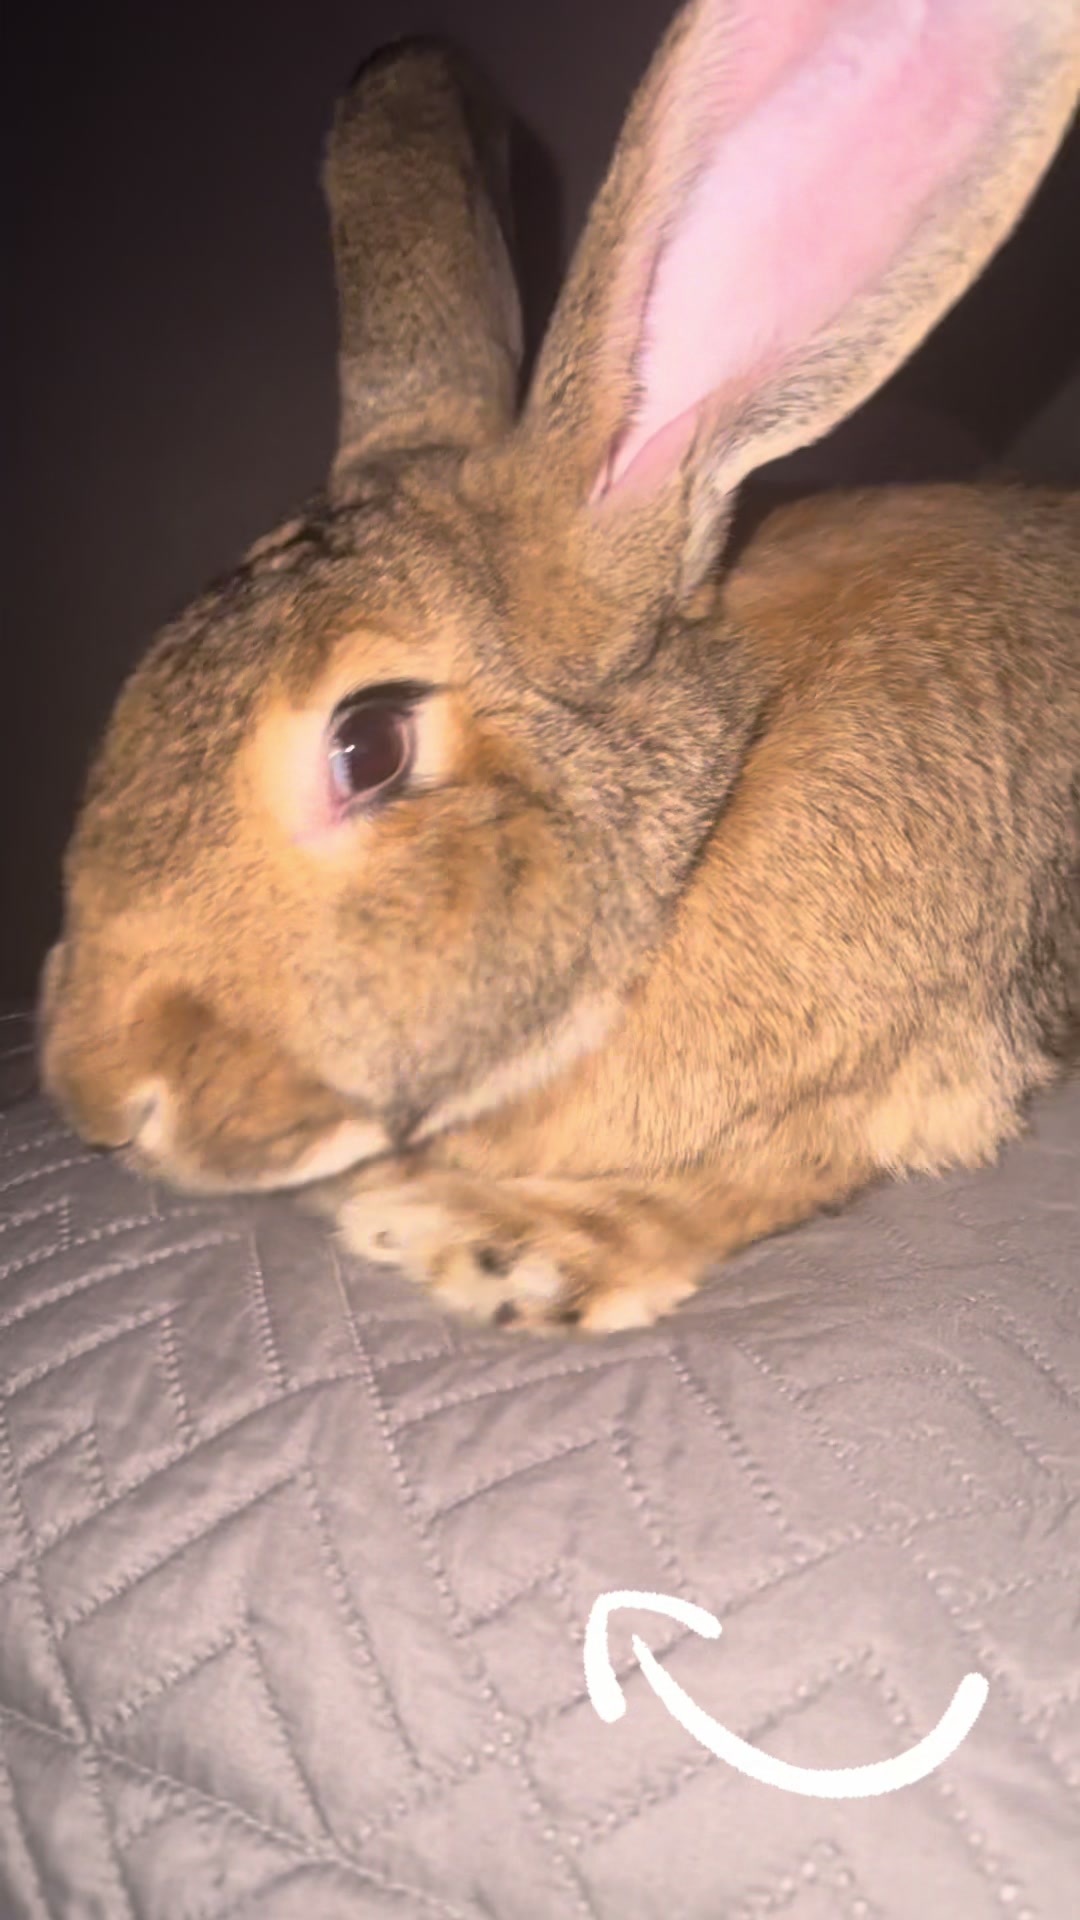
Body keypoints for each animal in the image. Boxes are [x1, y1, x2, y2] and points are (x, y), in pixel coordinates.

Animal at [40, 0, 1080, 1333]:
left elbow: (769, 1168)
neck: (698, 831)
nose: (98, 1099)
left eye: (370, 745)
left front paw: (490, 1240)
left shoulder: (905, 1068)